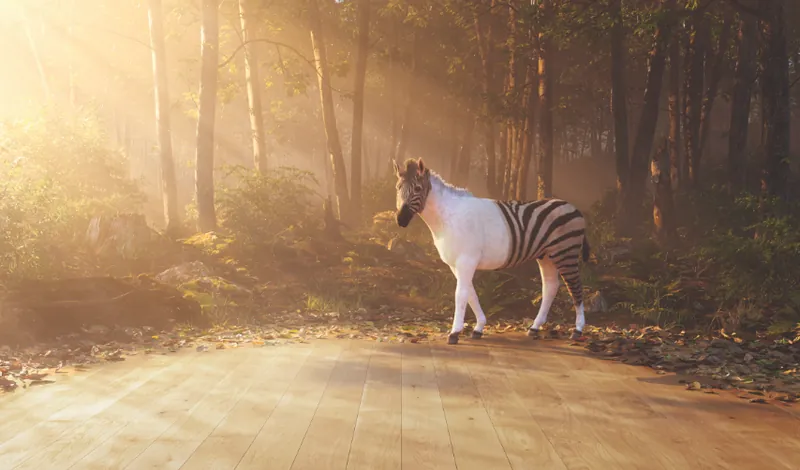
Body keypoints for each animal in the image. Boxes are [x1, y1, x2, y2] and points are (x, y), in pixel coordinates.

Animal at [393, 157, 590, 344]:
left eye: (418, 188)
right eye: (398, 187)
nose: (400, 220)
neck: (448, 218)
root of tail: (572, 207)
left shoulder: (466, 260)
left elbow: (461, 294)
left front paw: (455, 333)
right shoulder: (455, 264)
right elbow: (471, 294)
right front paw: (478, 327)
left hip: (565, 252)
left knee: (575, 287)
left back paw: (577, 330)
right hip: (546, 256)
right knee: (550, 286)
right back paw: (534, 327)